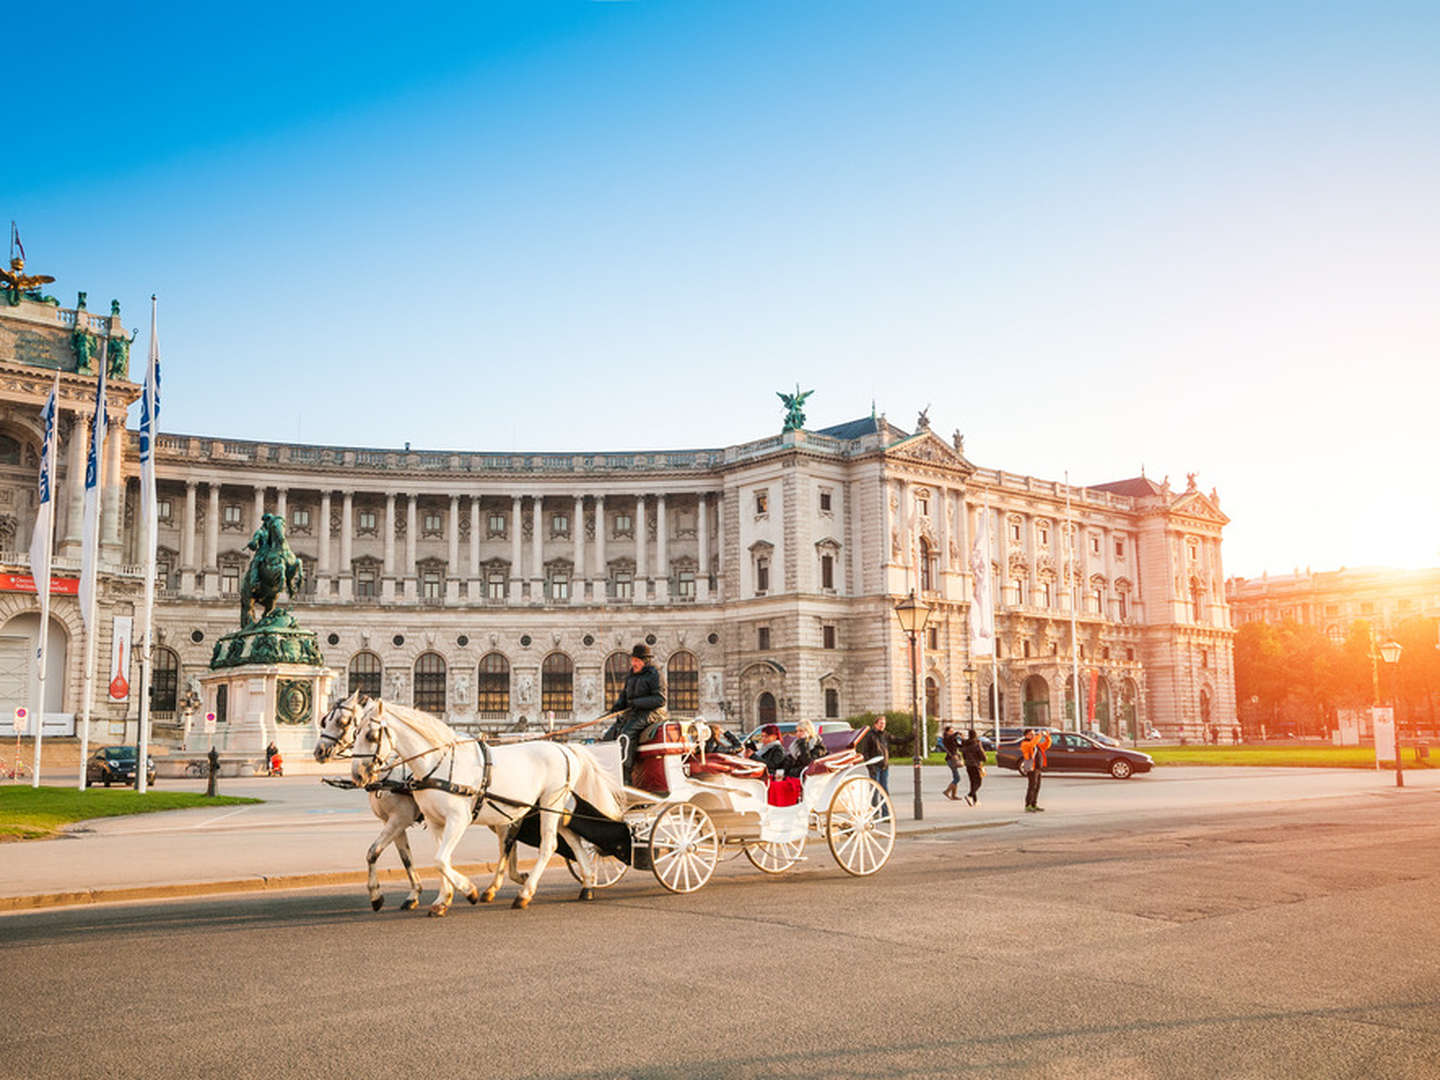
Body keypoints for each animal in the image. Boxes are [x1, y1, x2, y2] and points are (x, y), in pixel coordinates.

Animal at [315, 694, 426, 915]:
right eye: (325, 720)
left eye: (342, 722)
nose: (319, 751)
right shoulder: (393, 822)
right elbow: (406, 858)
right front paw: (414, 894)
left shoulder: (399, 819)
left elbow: (372, 852)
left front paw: (376, 896)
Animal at [349, 696, 624, 915]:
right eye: (354, 734)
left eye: (370, 735)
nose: (357, 775)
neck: (438, 764)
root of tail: (564, 748)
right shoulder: (434, 822)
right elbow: (437, 860)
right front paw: (442, 900)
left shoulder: (454, 819)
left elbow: (440, 860)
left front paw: (467, 890)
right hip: (552, 808)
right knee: (572, 838)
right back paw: (587, 884)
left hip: (550, 801)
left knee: (548, 845)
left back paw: (525, 894)